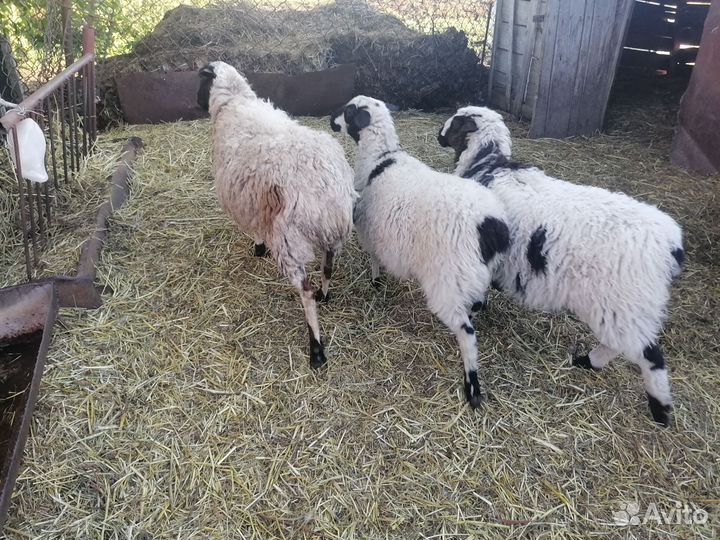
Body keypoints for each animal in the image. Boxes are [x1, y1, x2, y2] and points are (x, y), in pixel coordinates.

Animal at [197, 61, 356, 368]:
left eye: (198, 81)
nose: (196, 103)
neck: (234, 102)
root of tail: (327, 187)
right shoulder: (258, 202)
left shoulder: (253, 202)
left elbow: (257, 229)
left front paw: (258, 248)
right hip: (334, 233)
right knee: (328, 267)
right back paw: (325, 295)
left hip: (290, 240)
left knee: (305, 292)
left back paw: (316, 349)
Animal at [330, 96, 510, 407]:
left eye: (349, 111)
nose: (330, 120)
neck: (380, 158)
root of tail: (489, 225)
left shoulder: (370, 231)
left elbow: (374, 259)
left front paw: (376, 281)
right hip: (472, 276)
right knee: (476, 306)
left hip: (447, 281)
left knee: (467, 333)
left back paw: (472, 386)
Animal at [438, 106, 685, 427]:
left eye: (455, 123)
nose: (438, 135)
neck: (489, 164)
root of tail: (671, 246)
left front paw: (473, 311)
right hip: (627, 307)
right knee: (621, 344)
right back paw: (587, 362)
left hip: (623, 303)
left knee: (650, 355)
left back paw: (659, 409)